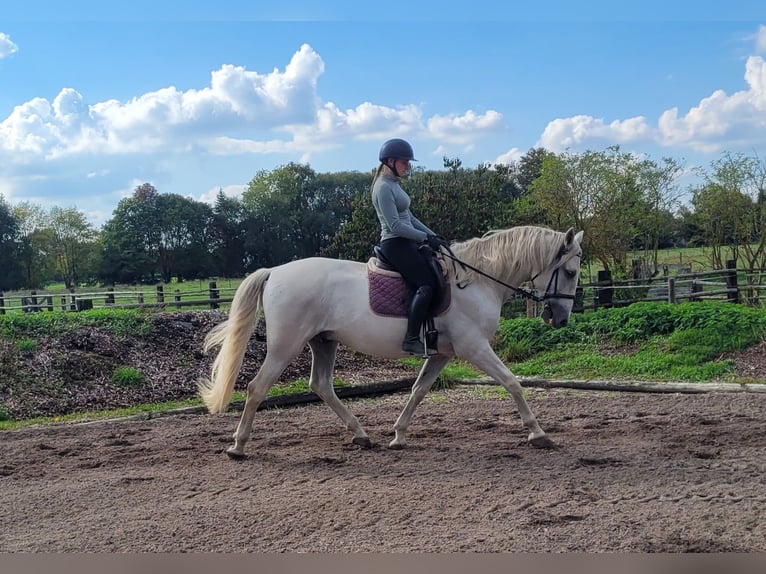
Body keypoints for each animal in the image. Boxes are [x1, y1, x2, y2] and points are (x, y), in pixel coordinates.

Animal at [198, 225, 584, 459]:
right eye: (570, 271)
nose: (560, 319)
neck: (476, 281)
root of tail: (275, 271)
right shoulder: (474, 347)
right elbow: (512, 382)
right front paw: (538, 433)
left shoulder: (442, 354)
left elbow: (418, 390)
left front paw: (398, 435)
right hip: (286, 346)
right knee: (257, 388)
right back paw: (238, 446)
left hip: (324, 342)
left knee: (321, 385)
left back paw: (361, 434)